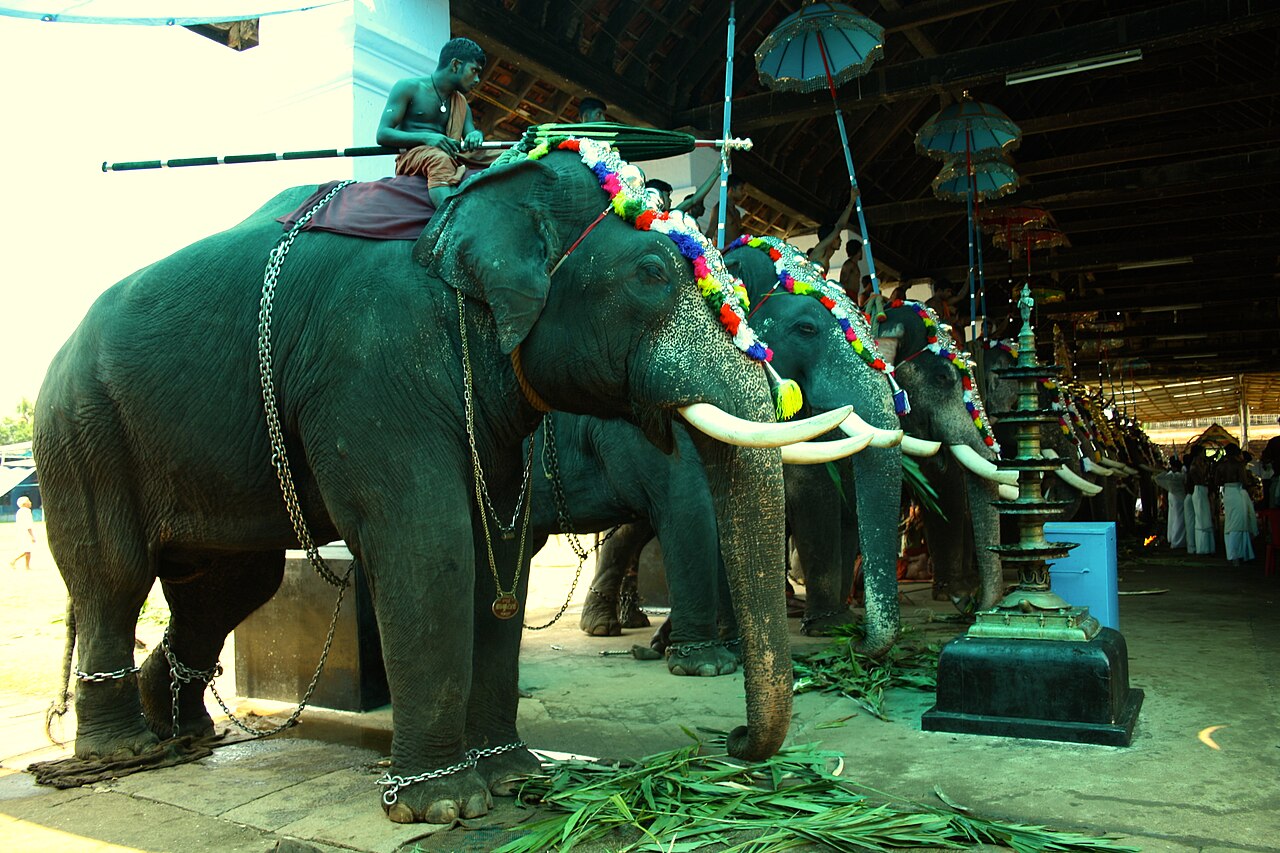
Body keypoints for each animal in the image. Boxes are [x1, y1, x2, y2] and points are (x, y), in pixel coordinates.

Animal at [33, 142, 853, 824]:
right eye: (652, 272)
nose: (732, 737)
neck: (475, 197)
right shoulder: (371, 361)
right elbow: (429, 544)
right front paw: (444, 805)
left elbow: (500, 552)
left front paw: (516, 778)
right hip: (83, 430)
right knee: (114, 574)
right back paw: (120, 751)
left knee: (229, 582)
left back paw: (184, 734)